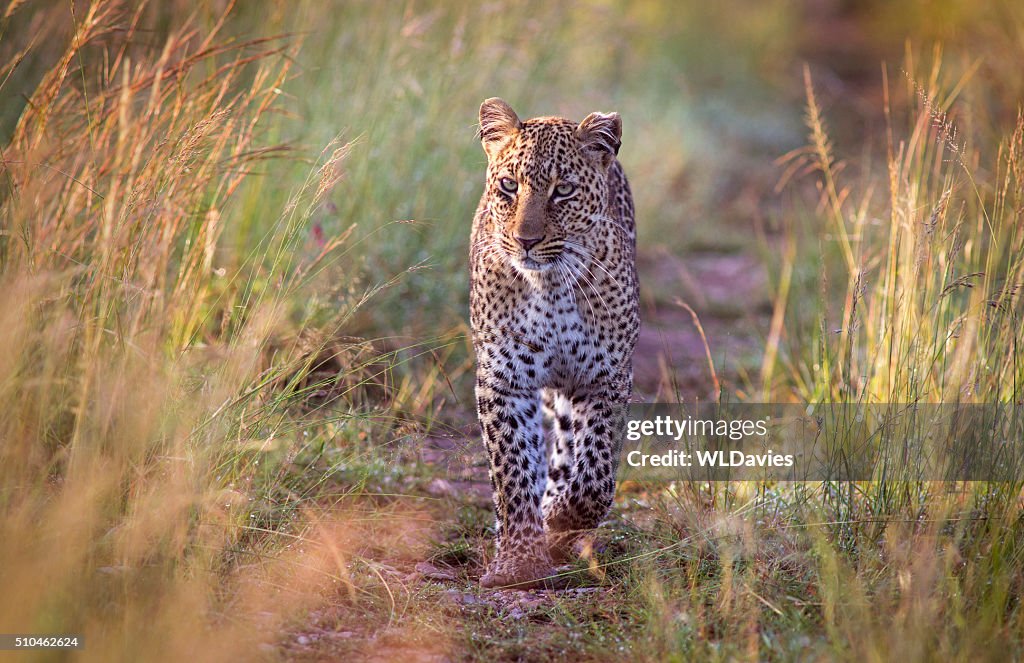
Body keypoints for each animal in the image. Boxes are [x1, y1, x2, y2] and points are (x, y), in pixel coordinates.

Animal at [469, 98, 640, 589]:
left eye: (562, 191)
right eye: (509, 185)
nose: (526, 240)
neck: (550, 288)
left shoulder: (606, 378)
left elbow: (596, 474)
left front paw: (561, 518)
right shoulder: (503, 380)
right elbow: (512, 470)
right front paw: (517, 562)